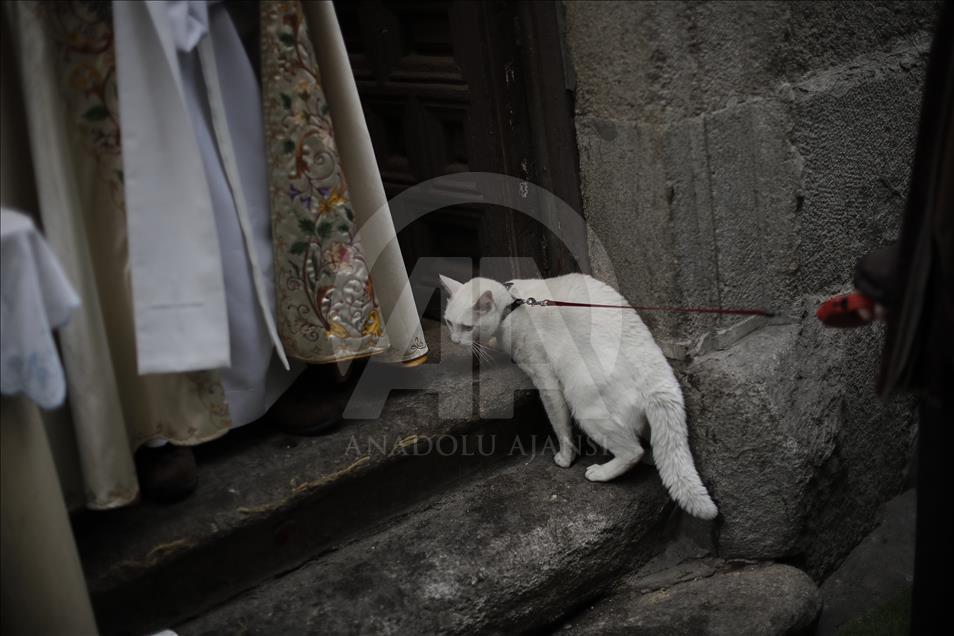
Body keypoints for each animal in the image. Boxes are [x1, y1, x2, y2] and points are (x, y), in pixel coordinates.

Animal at [438, 270, 712, 520]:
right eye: (449, 323)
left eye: (467, 327)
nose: (454, 340)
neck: (512, 306)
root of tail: (658, 375)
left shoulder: (545, 379)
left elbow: (560, 425)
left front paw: (565, 458)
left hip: (583, 404)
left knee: (633, 451)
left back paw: (600, 472)